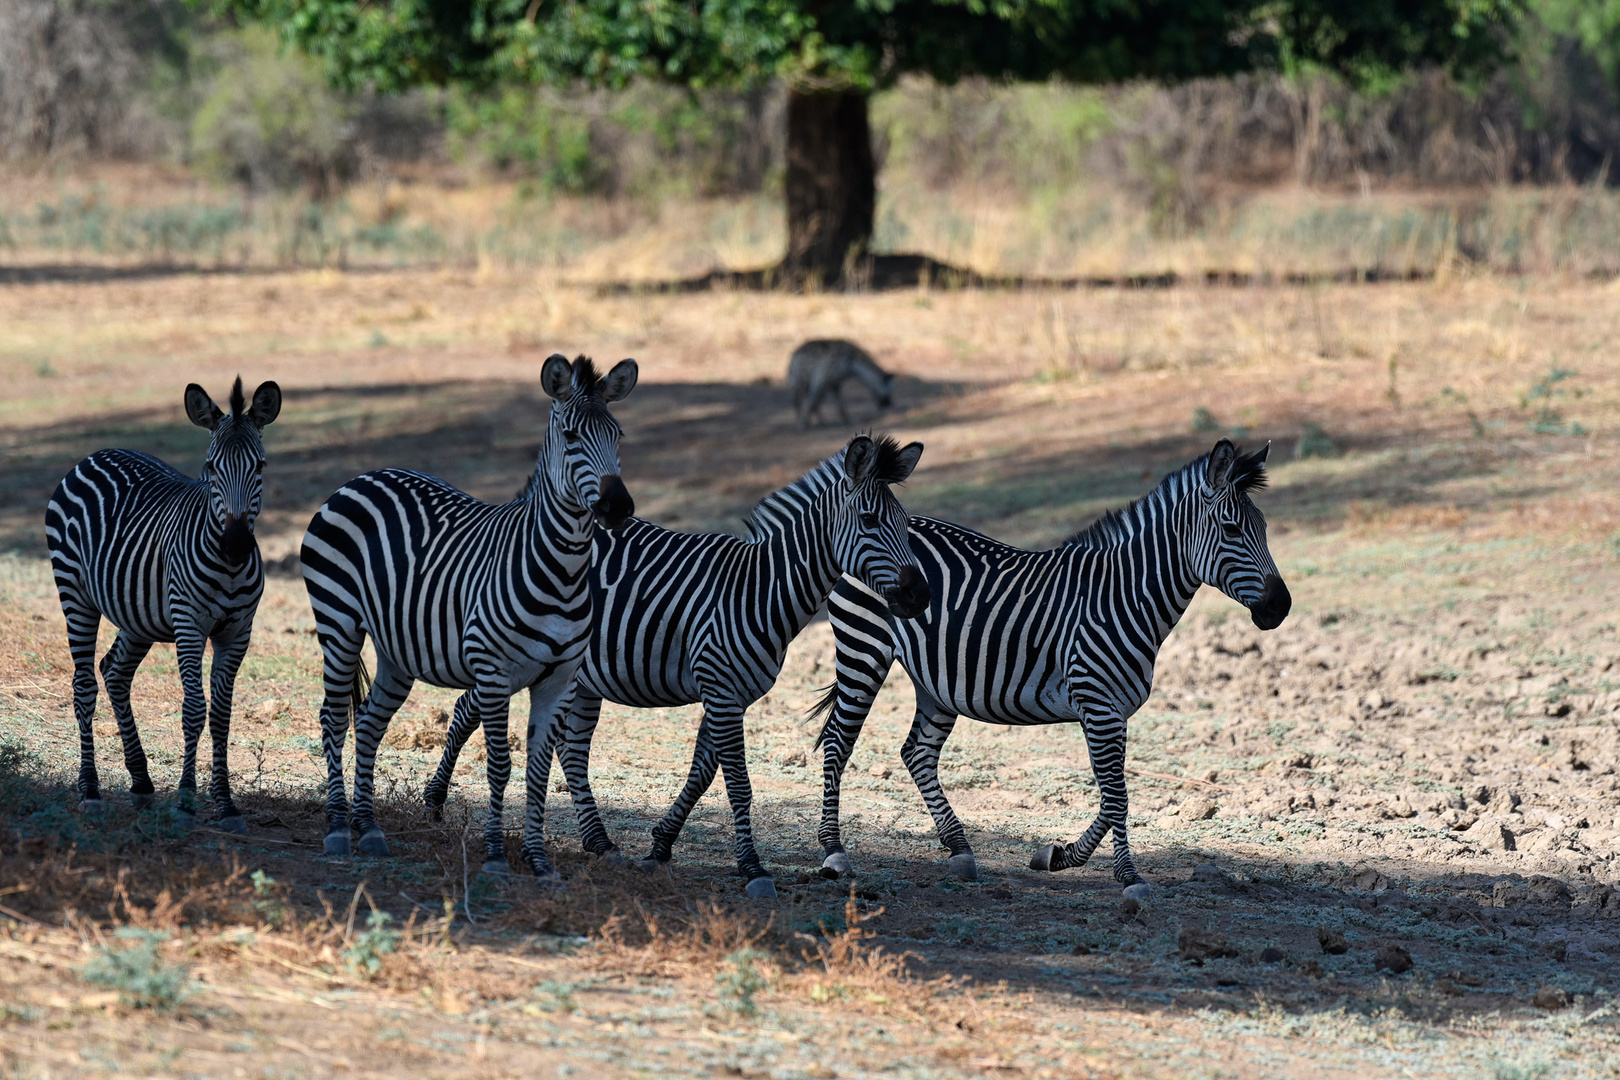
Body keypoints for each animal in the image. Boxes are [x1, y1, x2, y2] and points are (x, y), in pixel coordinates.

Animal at [44, 375, 283, 835]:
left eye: (260, 467)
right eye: (211, 467)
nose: (236, 544)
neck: (227, 567)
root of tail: (97, 453)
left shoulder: (237, 633)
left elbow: (221, 715)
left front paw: (226, 804)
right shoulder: (190, 625)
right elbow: (194, 709)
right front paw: (186, 802)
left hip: (139, 615)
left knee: (114, 671)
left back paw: (140, 781)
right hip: (75, 592)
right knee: (84, 685)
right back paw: (90, 791)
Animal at [301, 354, 635, 880]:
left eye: (617, 434)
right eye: (571, 436)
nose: (618, 507)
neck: (563, 572)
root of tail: (364, 476)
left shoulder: (558, 679)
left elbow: (538, 769)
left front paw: (539, 861)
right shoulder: (494, 672)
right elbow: (500, 764)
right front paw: (496, 856)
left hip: (397, 649)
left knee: (370, 722)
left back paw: (368, 828)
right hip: (338, 625)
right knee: (334, 718)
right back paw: (337, 828)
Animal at [424, 430, 933, 893]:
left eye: (906, 523)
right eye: (869, 520)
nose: (920, 596)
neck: (759, 589)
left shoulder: (730, 693)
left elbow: (703, 771)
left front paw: (660, 845)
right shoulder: (721, 688)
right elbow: (738, 783)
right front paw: (753, 869)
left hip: (581, 676)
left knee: (570, 750)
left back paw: (600, 843)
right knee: (471, 708)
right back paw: (433, 803)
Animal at [810, 440, 1289, 893]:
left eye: (1265, 529)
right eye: (1231, 529)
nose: (1280, 607)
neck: (1125, 595)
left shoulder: (1113, 712)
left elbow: (1110, 796)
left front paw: (1057, 856)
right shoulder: (1098, 705)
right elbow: (1117, 797)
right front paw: (1129, 876)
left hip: (936, 680)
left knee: (918, 752)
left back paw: (960, 849)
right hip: (863, 648)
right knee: (838, 741)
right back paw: (834, 851)